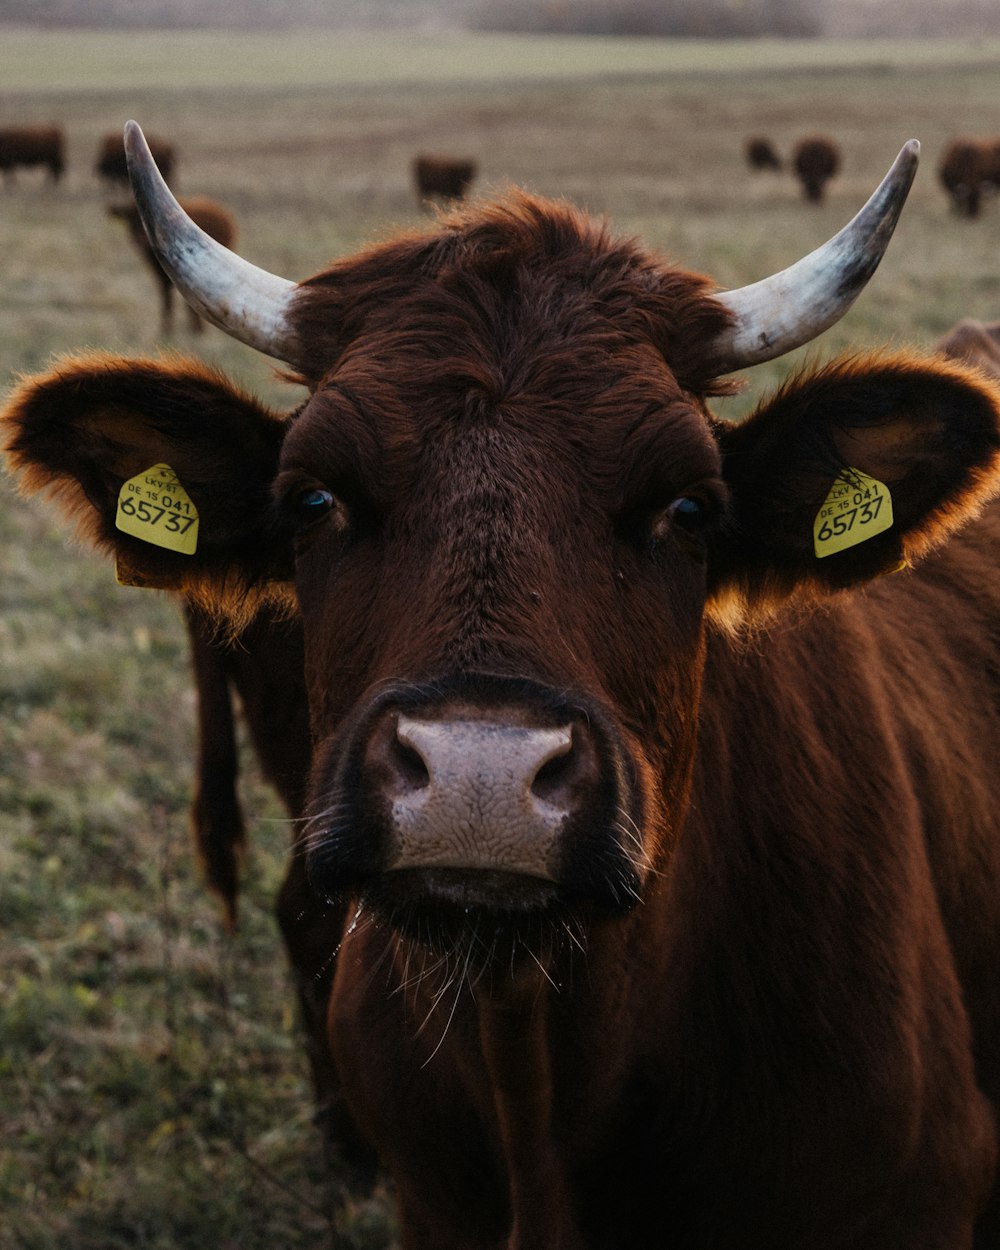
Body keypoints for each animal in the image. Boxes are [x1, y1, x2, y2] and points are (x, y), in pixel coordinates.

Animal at [108, 196, 238, 335]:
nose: (139, 239)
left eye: (139, 217)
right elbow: (167, 303)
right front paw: (167, 330)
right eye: (129, 218)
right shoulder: (164, 279)